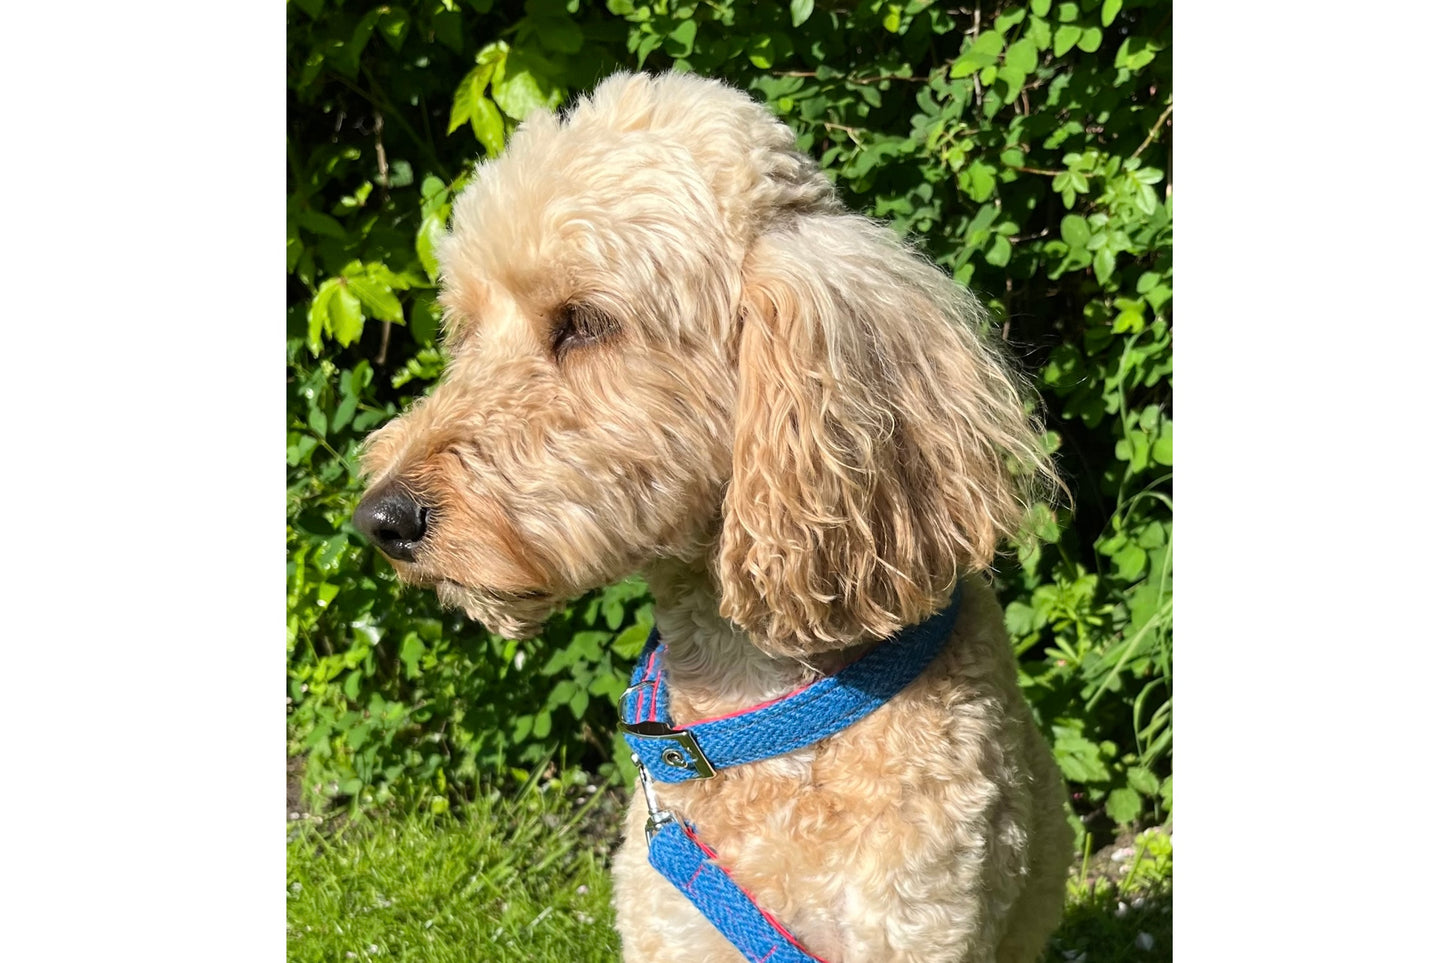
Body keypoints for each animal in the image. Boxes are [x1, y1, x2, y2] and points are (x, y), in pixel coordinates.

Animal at [351, 73, 1075, 960]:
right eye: (464, 330)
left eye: (583, 322)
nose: (379, 518)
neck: (755, 704)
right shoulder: (674, 924)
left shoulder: (920, 920)